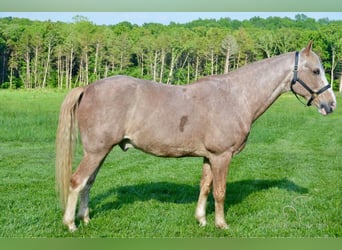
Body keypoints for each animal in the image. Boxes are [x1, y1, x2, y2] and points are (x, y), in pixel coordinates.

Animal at [56, 40, 336, 230]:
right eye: (315, 71)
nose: (330, 104)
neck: (235, 96)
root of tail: (88, 87)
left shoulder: (209, 157)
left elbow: (205, 186)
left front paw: (201, 219)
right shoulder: (222, 156)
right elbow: (220, 191)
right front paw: (221, 224)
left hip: (100, 152)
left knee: (88, 183)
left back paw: (85, 218)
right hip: (96, 151)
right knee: (77, 181)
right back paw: (71, 224)